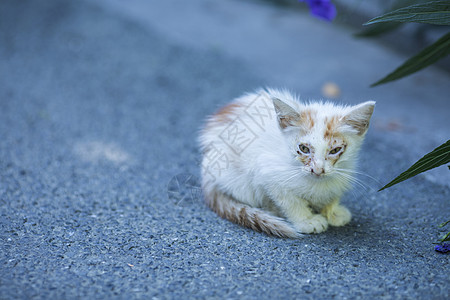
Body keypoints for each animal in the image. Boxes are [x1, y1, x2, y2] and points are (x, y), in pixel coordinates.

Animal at [199, 88, 374, 238]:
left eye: (335, 150)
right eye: (303, 148)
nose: (318, 170)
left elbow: (333, 195)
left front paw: (333, 212)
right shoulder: (268, 172)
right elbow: (290, 201)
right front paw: (306, 220)